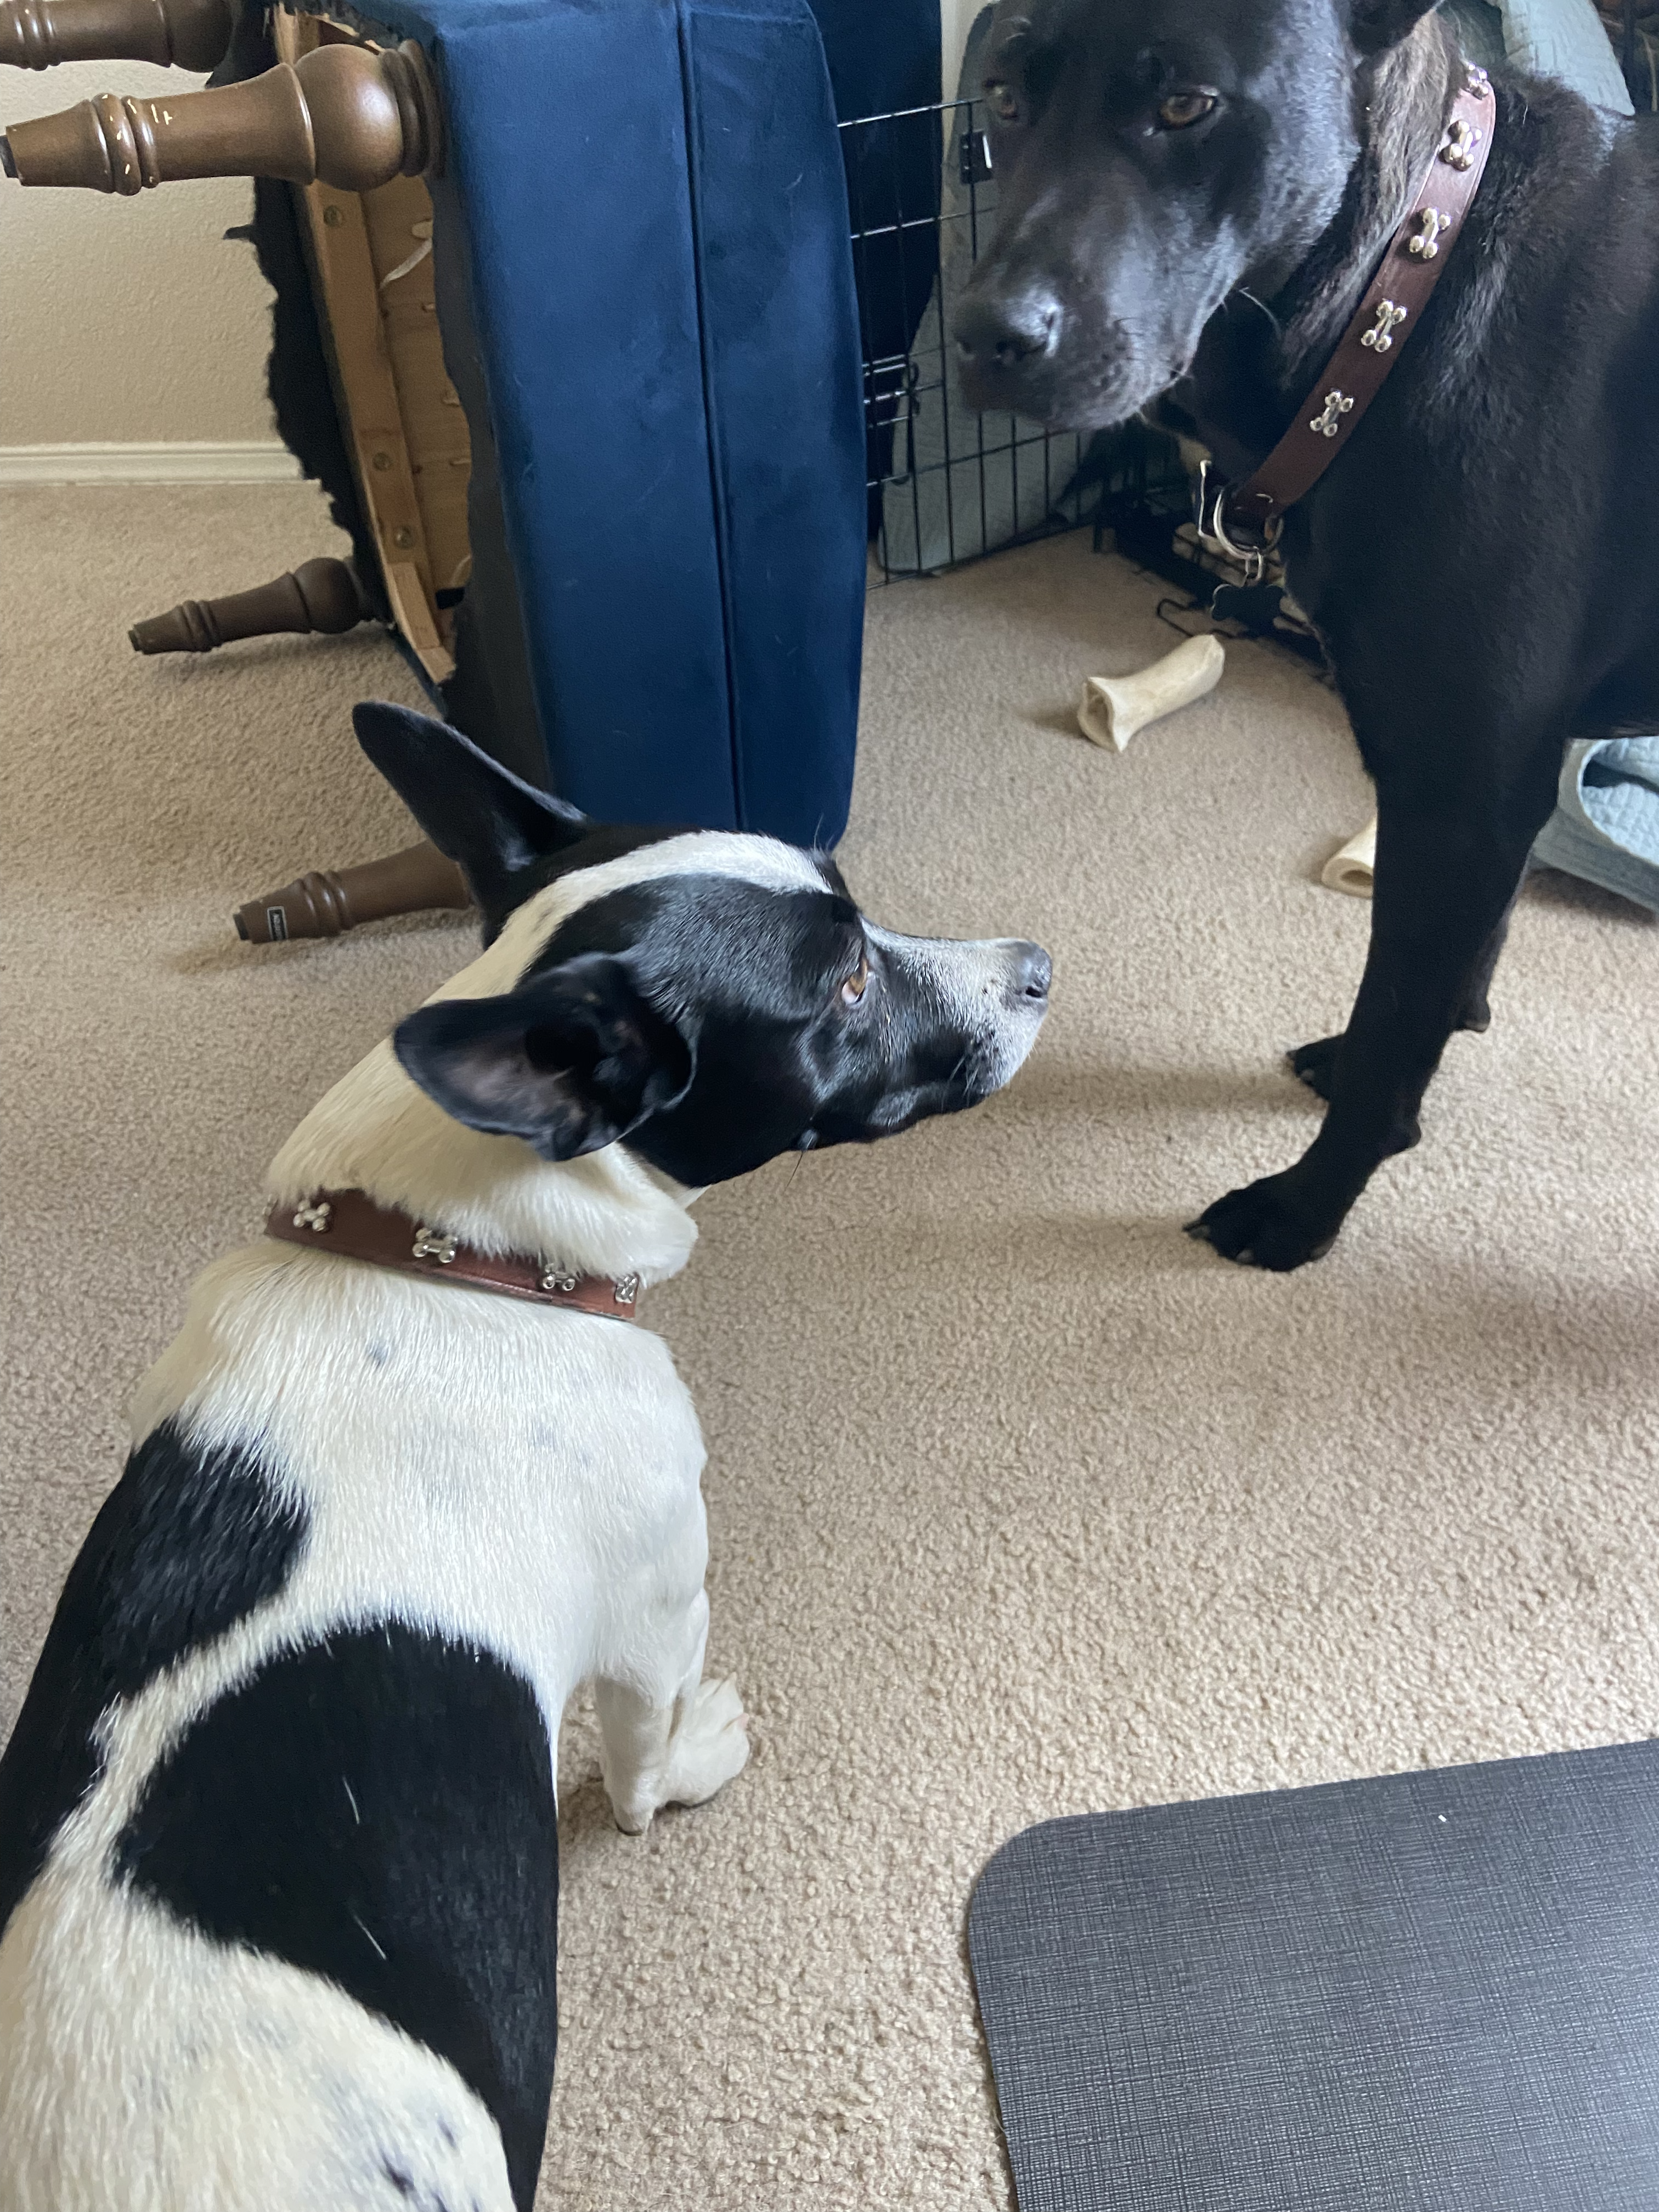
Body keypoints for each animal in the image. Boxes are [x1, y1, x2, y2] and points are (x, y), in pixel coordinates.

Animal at [0, 703, 1053, 2212]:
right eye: (849, 983)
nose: (1037, 969)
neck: (454, 1260)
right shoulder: (656, 1623)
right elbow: (641, 1768)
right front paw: (688, 1769)